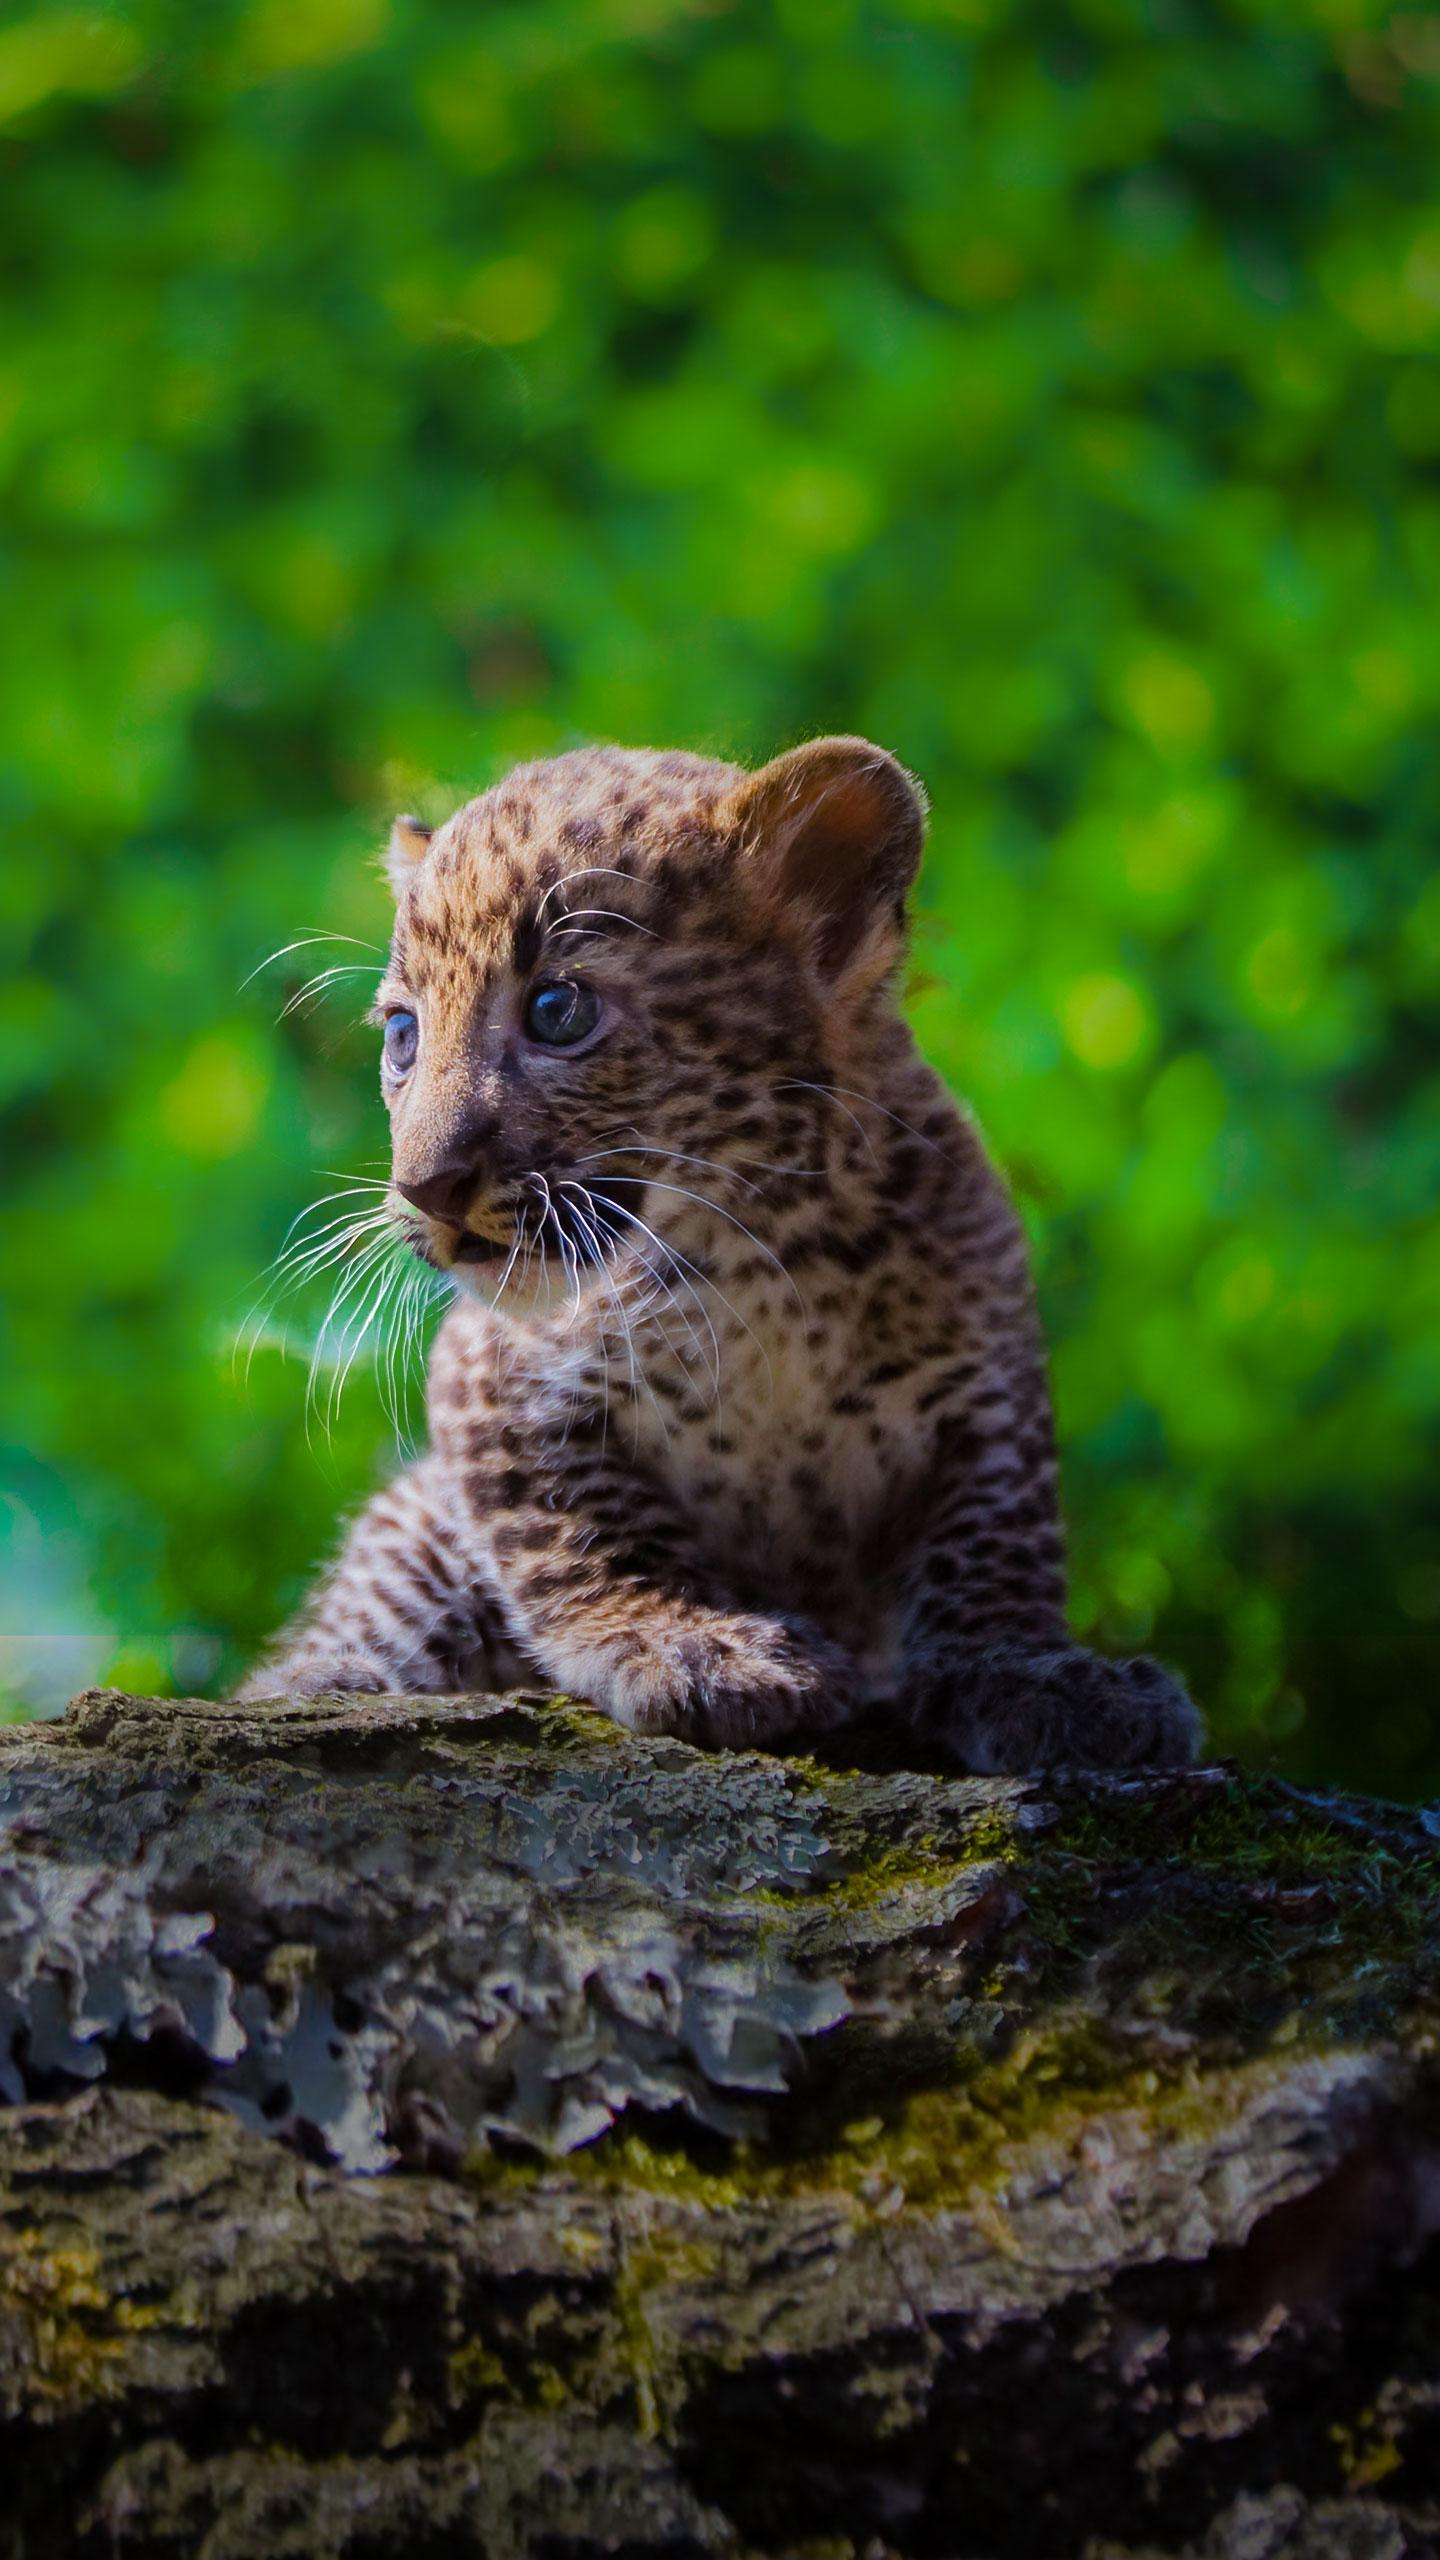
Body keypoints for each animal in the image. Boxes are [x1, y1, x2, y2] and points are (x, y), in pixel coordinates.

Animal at [237, 735, 1201, 1773]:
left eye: (558, 1009)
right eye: (403, 1034)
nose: (426, 1187)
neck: (754, 1247)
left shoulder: (989, 1379)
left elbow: (995, 1538)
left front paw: (1039, 1673)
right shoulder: (488, 1383)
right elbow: (578, 1523)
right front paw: (691, 1640)